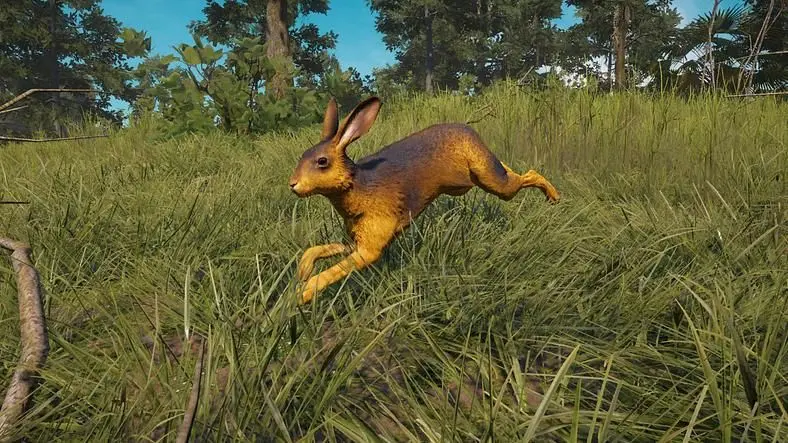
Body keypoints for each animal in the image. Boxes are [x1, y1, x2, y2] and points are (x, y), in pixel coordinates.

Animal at [289, 96, 560, 304]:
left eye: (322, 161)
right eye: (302, 155)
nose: (292, 184)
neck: (359, 187)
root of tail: (470, 130)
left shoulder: (370, 248)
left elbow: (332, 271)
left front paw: (301, 296)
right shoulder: (357, 240)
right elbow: (317, 250)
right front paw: (302, 272)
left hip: (493, 181)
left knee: (528, 174)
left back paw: (554, 198)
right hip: (479, 178)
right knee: (508, 168)